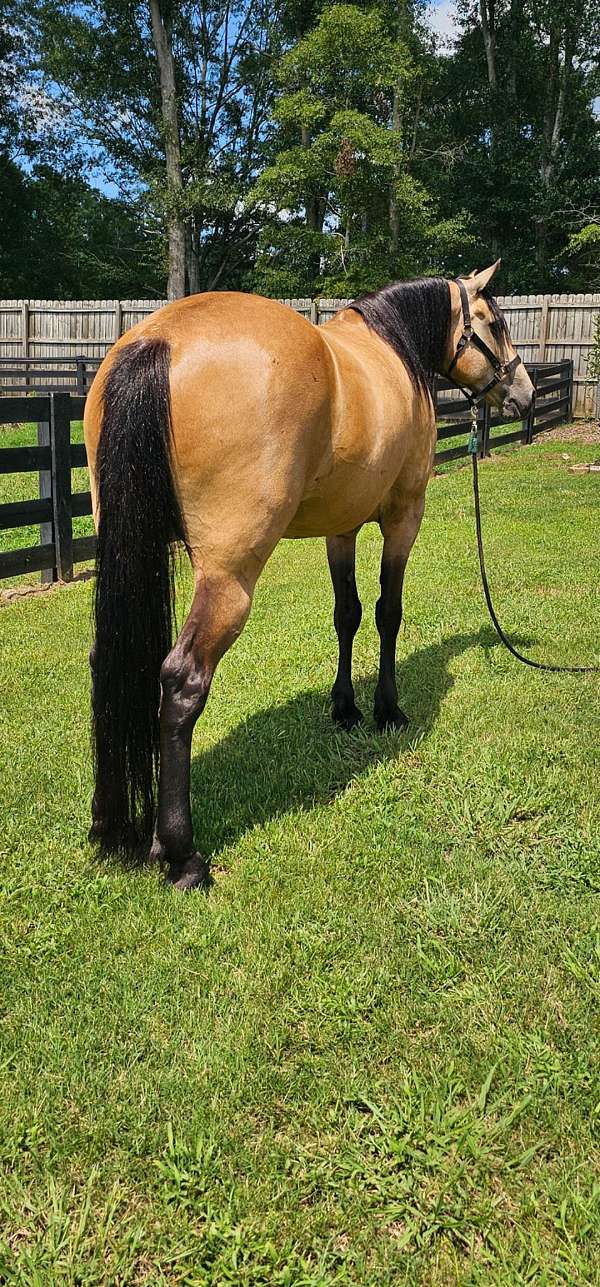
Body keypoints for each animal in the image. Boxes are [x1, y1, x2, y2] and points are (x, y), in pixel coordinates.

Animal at [83, 260, 534, 889]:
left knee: (111, 660)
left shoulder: (340, 528)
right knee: (183, 680)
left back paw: (113, 827)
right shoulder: (404, 516)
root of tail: (159, 340)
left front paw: (344, 708)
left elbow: (347, 615)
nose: (525, 392)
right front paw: (387, 710)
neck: (392, 349)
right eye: (493, 322)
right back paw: (180, 854)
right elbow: (388, 614)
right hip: (229, 576)